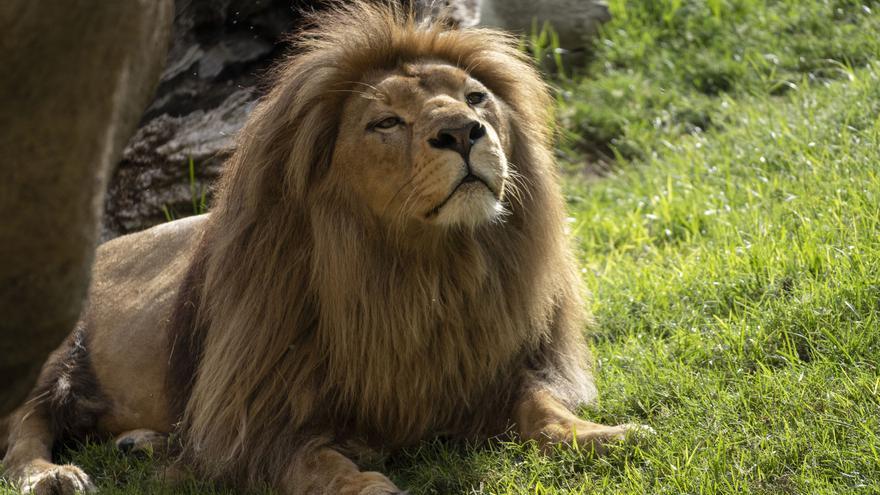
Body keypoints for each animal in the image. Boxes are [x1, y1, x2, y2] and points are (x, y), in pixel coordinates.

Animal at [0, 1, 648, 494]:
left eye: (475, 98)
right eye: (386, 123)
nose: (464, 133)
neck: (425, 271)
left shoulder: (498, 369)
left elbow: (543, 408)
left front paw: (605, 436)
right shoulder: (263, 416)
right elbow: (318, 464)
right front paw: (370, 485)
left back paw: (142, 443)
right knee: (22, 427)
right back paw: (50, 474)